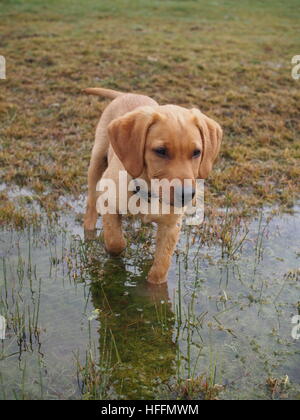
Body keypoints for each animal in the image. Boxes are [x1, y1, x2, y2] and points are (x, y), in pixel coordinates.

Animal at [83, 88, 221, 286]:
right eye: (161, 151)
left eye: (196, 152)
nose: (187, 194)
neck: (148, 191)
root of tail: (125, 94)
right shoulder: (108, 202)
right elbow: (116, 242)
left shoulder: (171, 225)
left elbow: (160, 268)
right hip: (97, 159)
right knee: (91, 202)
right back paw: (89, 232)